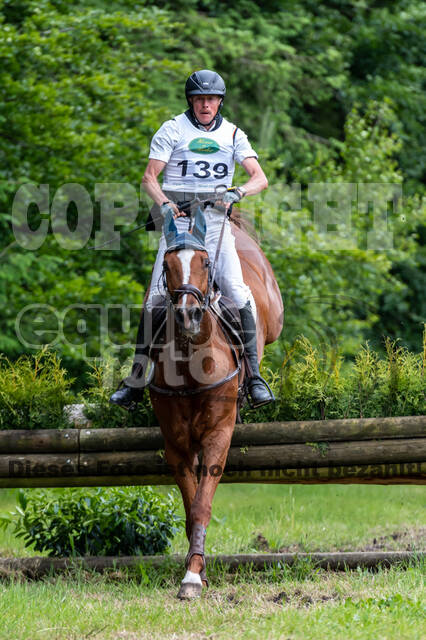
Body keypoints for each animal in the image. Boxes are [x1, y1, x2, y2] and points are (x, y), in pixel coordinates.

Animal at [147, 206, 283, 599]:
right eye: (167, 265)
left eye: (205, 263)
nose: (188, 315)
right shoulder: (177, 443)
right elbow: (190, 504)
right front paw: (196, 566)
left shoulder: (218, 436)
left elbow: (203, 504)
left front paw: (193, 576)